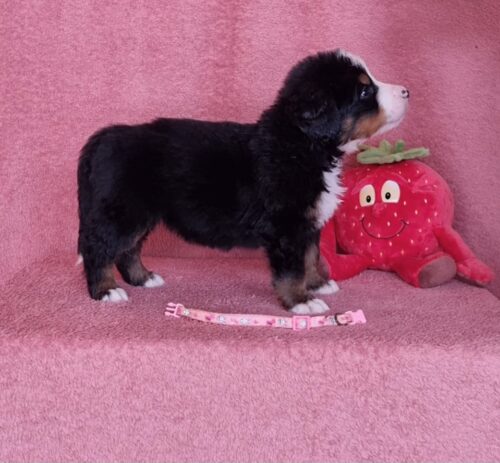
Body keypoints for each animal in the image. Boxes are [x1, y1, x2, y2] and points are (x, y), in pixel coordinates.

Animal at [77, 49, 409, 313]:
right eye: (364, 92)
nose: (406, 91)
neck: (301, 145)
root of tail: (104, 137)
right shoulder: (287, 226)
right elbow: (292, 269)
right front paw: (301, 301)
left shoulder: (307, 223)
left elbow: (311, 256)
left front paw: (318, 284)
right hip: (121, 211)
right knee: (100, 248)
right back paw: (106, 290)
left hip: (139, 213)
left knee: (129, 249)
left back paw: (144, 278)